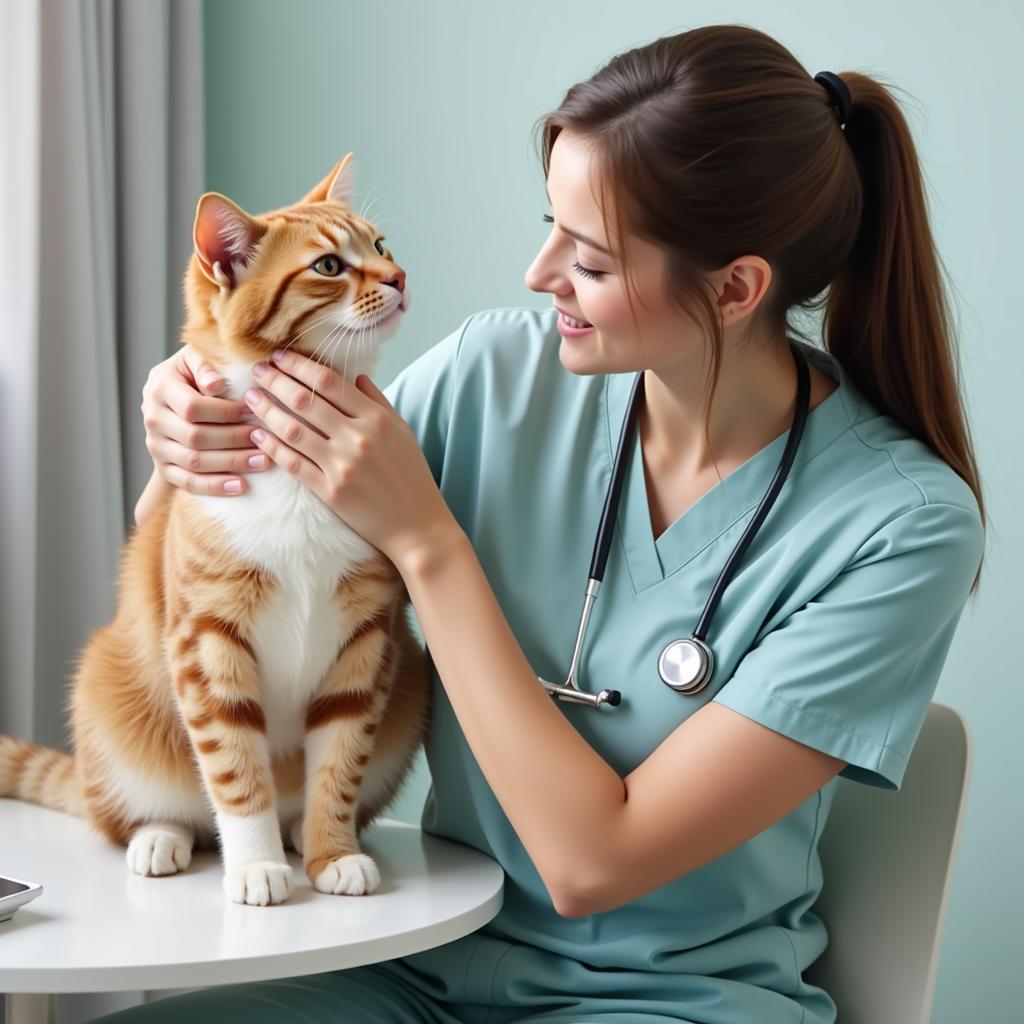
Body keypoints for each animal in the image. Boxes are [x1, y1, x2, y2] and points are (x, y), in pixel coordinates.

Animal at [0, 149, 432, 905]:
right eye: (329, 265)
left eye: (380, 246)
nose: (400, 277)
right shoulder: (208, 641)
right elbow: (235, 770)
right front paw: (257, 865)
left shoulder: (367, 641)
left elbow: (340, 763)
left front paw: (331, 853)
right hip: (105, 696)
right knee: (148, 814)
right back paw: (160, 839)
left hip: (410, 687)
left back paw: (298, 836)